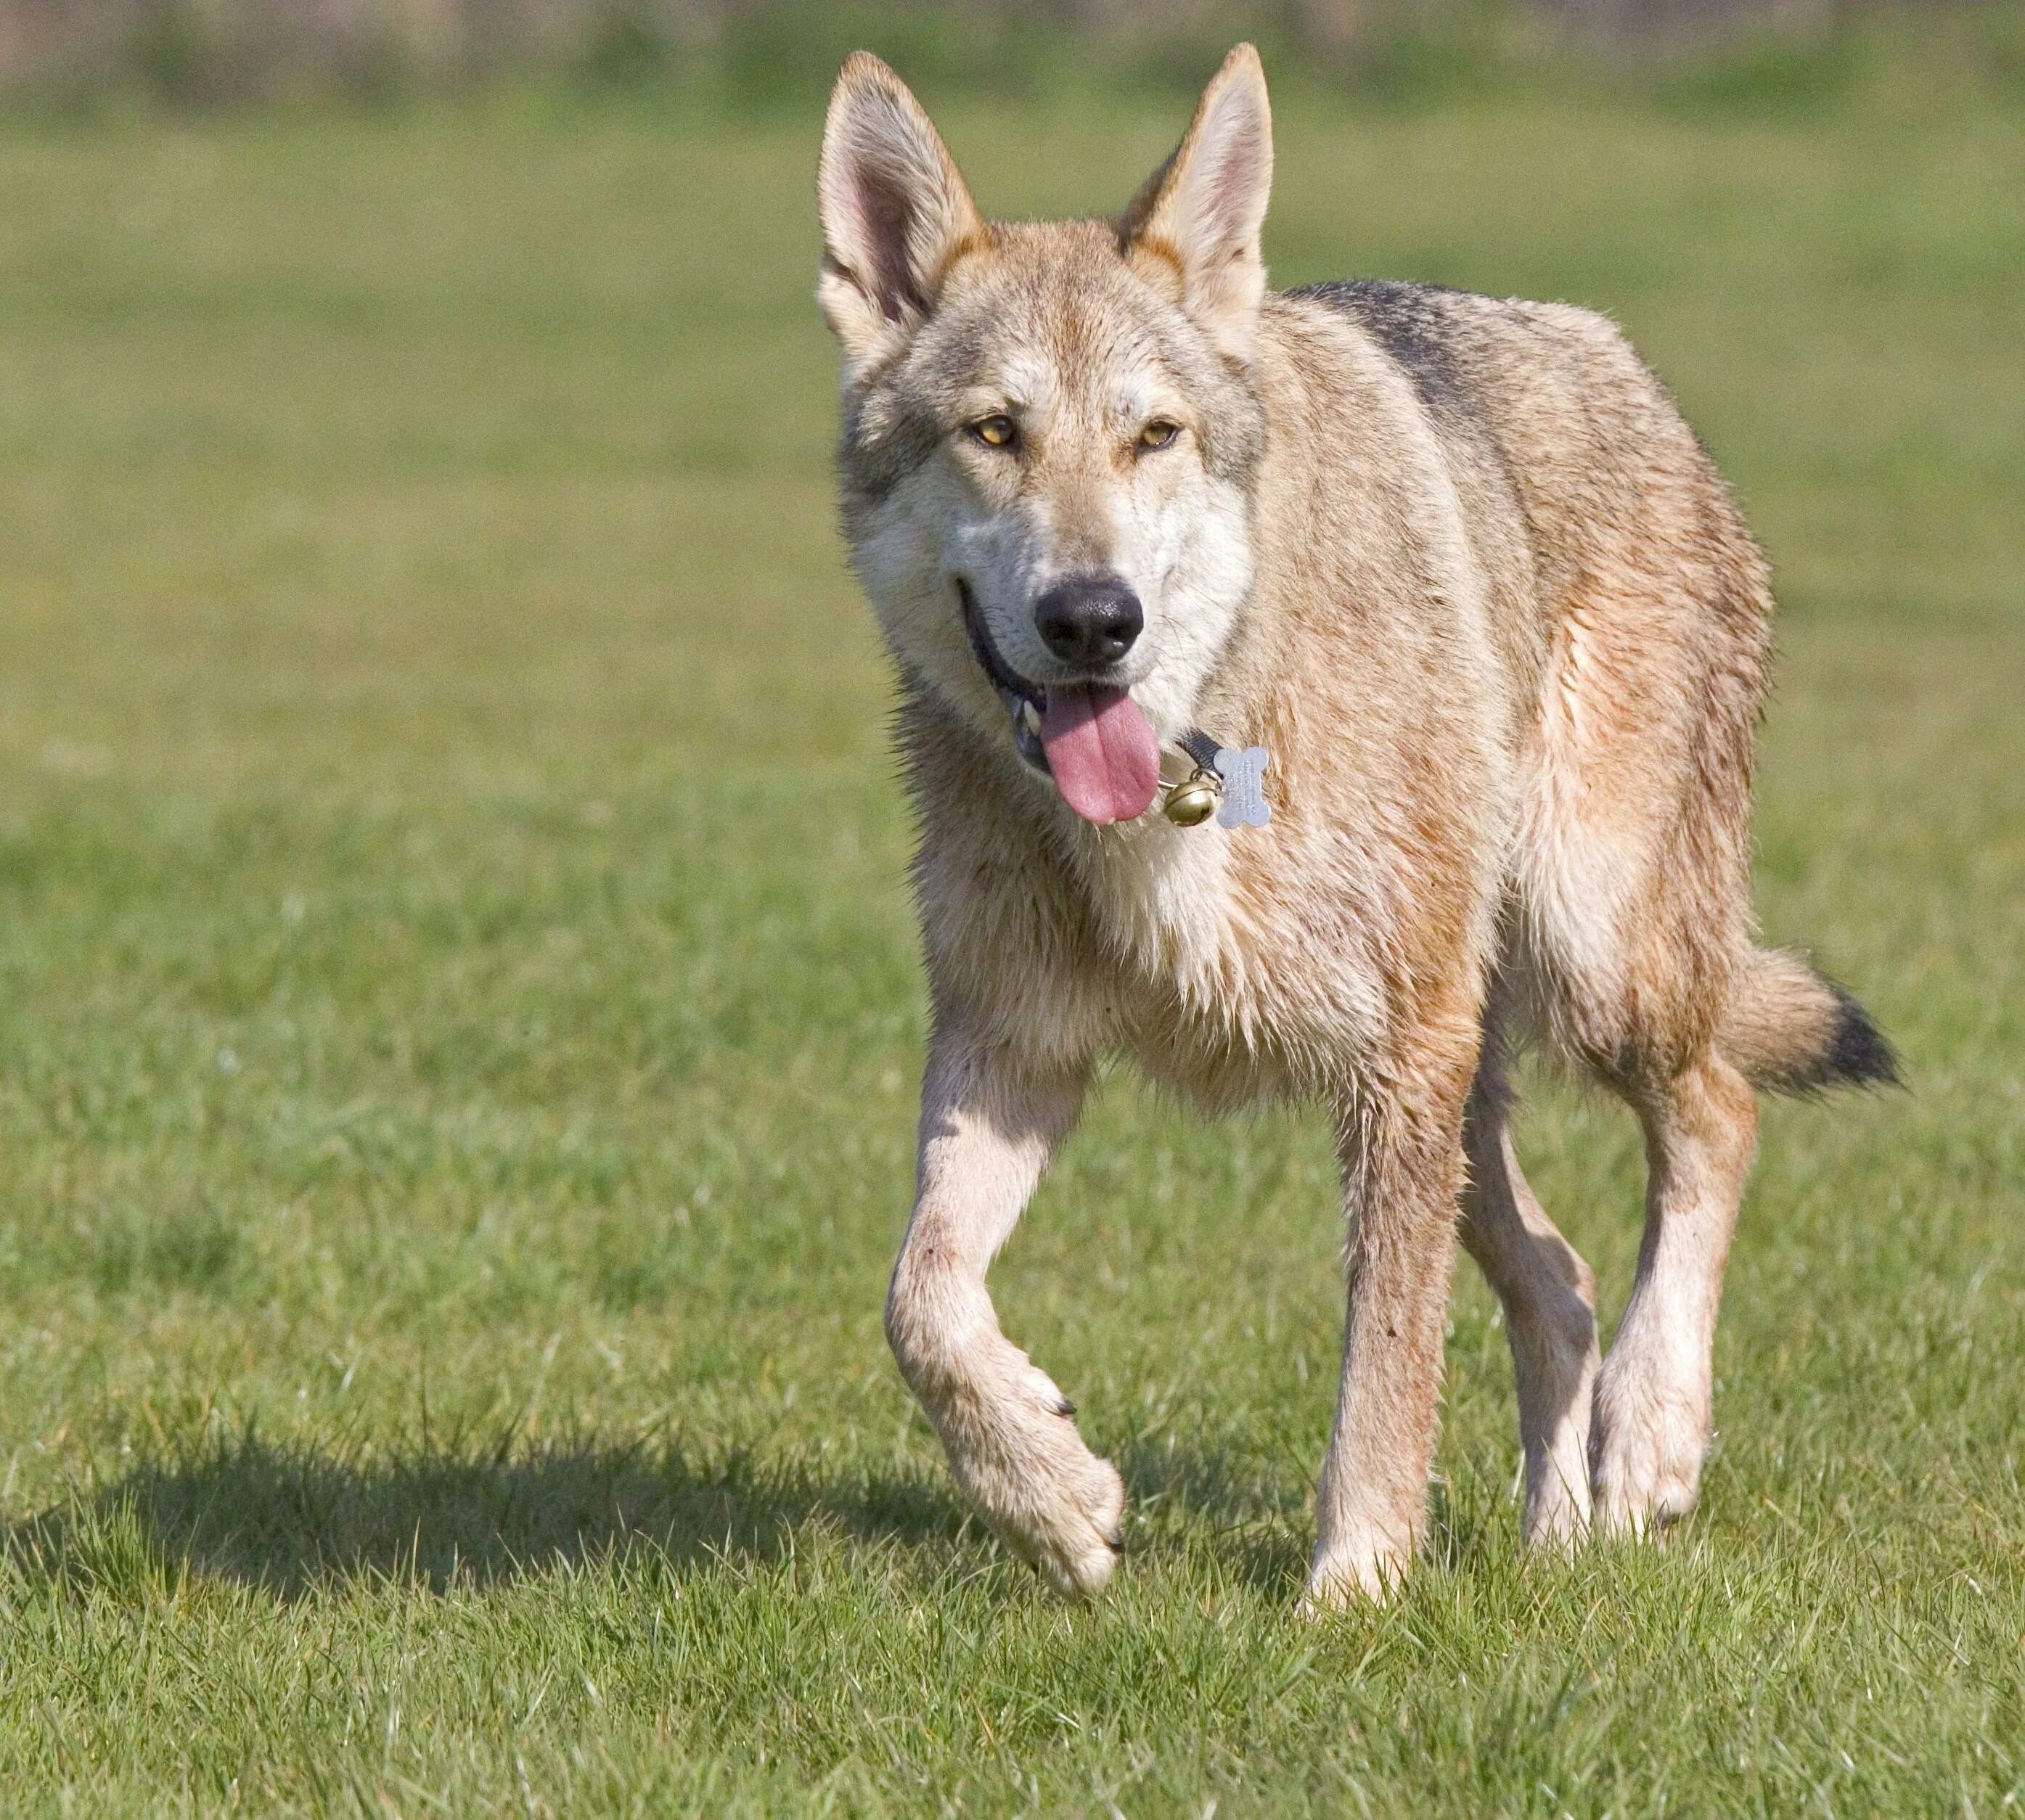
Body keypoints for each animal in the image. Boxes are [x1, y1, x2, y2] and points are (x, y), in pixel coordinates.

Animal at [814, 42, 1887, 1611]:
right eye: (994, 434)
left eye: (1154, 436)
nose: (1093, 620)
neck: (1194, 772)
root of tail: (1627, 364)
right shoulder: (1014, 1048)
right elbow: (920, 1303)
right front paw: (1058, 1501)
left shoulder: (1393, 1066)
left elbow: (1382, 1372)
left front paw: (1353, 1596)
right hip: (1476, 1085)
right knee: (1563, 1283)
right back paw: (1556, 1541)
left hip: (1590, 974)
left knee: (1718, 1116)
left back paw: (1652, 1441)